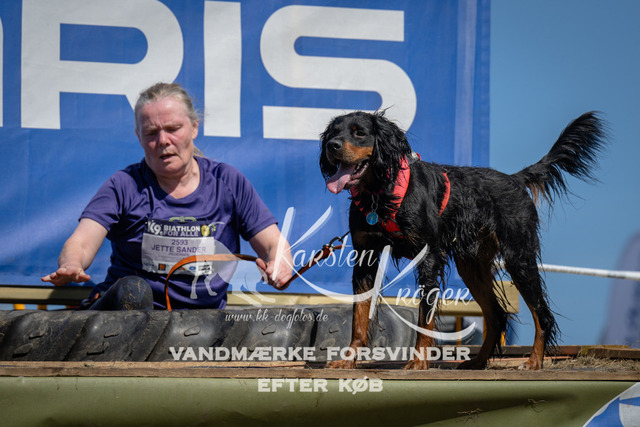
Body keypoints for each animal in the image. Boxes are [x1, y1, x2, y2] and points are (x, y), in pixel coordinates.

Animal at [319, 110, 605, 370]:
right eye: (334, 132)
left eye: (359, 132)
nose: (332, 145)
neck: (380, 195)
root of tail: (514, 180)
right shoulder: (365, 258)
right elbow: (359, 317)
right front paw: (348, 361)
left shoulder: (429, 257)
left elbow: (425, 318)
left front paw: (418, 363)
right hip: (472, 266)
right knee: (497, 315)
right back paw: (477, 362)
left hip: (519, 257)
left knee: (542, 315)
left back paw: (534, 362)